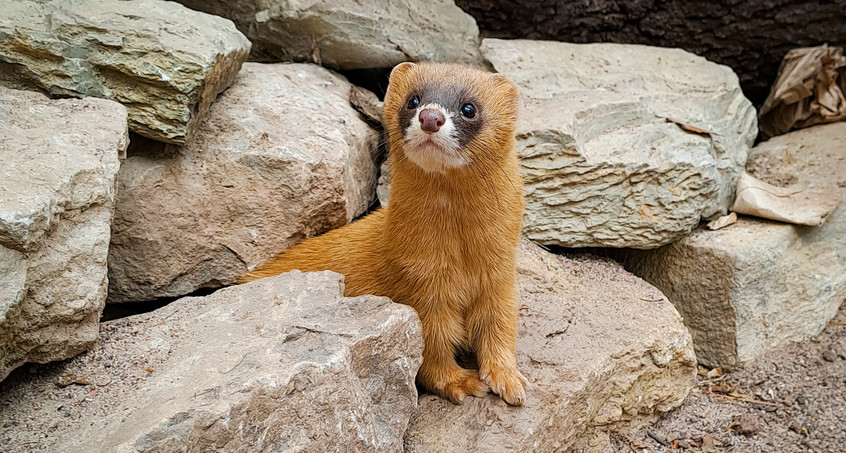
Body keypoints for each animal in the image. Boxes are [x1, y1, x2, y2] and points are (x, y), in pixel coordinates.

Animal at [240, 61, 528, 404]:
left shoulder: (500, 275)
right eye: (413, 100)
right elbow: (432, 348)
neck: (460, 256)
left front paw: (508, 378)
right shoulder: (418, 285)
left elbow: (501, 325)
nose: (431, 118)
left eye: (469, 108)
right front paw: (461, 382)